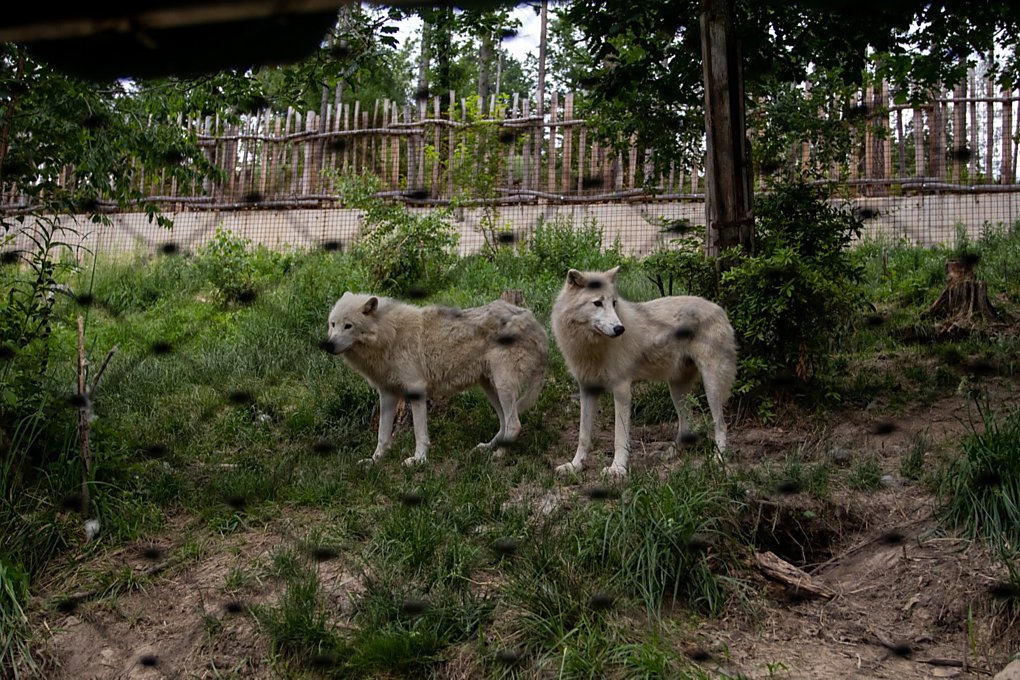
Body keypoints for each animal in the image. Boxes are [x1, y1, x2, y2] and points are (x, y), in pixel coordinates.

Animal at [326, 293, 550, 468]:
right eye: (333, 324)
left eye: (348, 326)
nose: (328, 345)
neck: (390, 334)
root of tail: (533, 320)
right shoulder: (387, 393)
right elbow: (382, 434)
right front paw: (375, 460)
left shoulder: (416, 389)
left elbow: (419, 432)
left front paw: (418, 460)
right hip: (490, 387)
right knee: (504, 422)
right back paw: (486, 448)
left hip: (502, 385)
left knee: (514, 424)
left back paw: (499, 455)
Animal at [554, 263, 738, 477]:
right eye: (597, 303)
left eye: (614, 303)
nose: (619, 329)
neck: (590, 345)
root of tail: (719, 309)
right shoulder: (586, 389)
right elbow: (583, 436)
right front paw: (575, 466)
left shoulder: (622, 388)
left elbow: (619, 437)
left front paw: (617, 469)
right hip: (677, 389)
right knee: (686, 423)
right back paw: (670, 454)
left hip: (711, 386)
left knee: (720, 423)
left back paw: (719, 459)